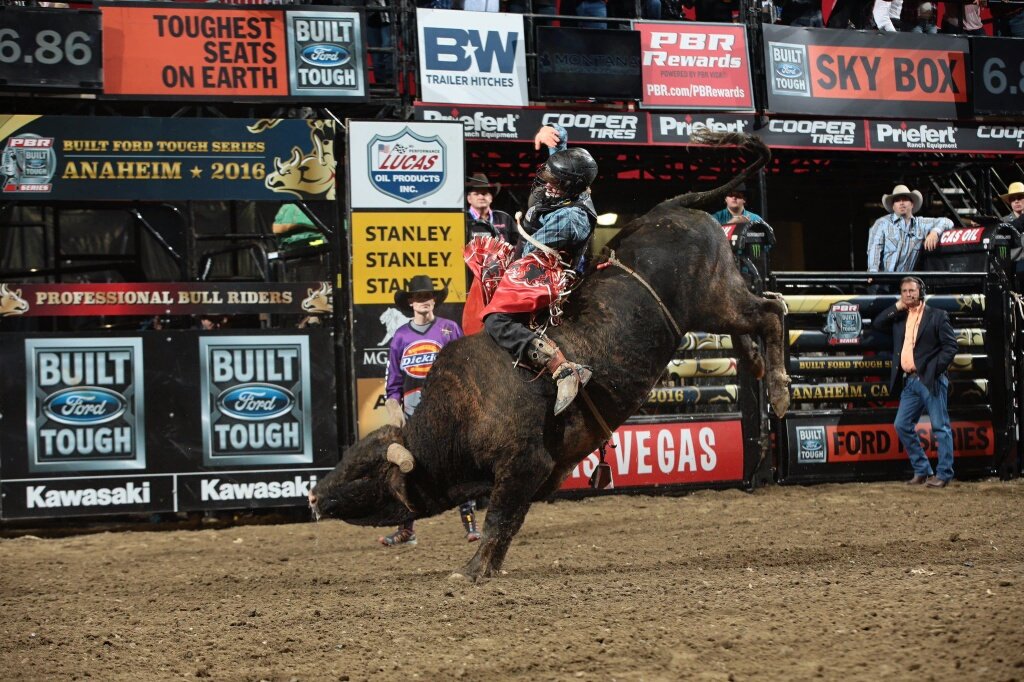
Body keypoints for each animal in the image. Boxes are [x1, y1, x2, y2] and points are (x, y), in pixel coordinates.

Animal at [307, 131, 786, 577]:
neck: (457, 415)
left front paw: (473, 569)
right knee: (760, 314)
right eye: (350, 458)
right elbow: (509, 519)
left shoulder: (525, 463)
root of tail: (673, 208)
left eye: (363, 474)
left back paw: (780, 390)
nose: (313, 494)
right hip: (721, 301)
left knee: (770, 314)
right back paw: (757, 363)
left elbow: (501, 518)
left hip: (714, 298)